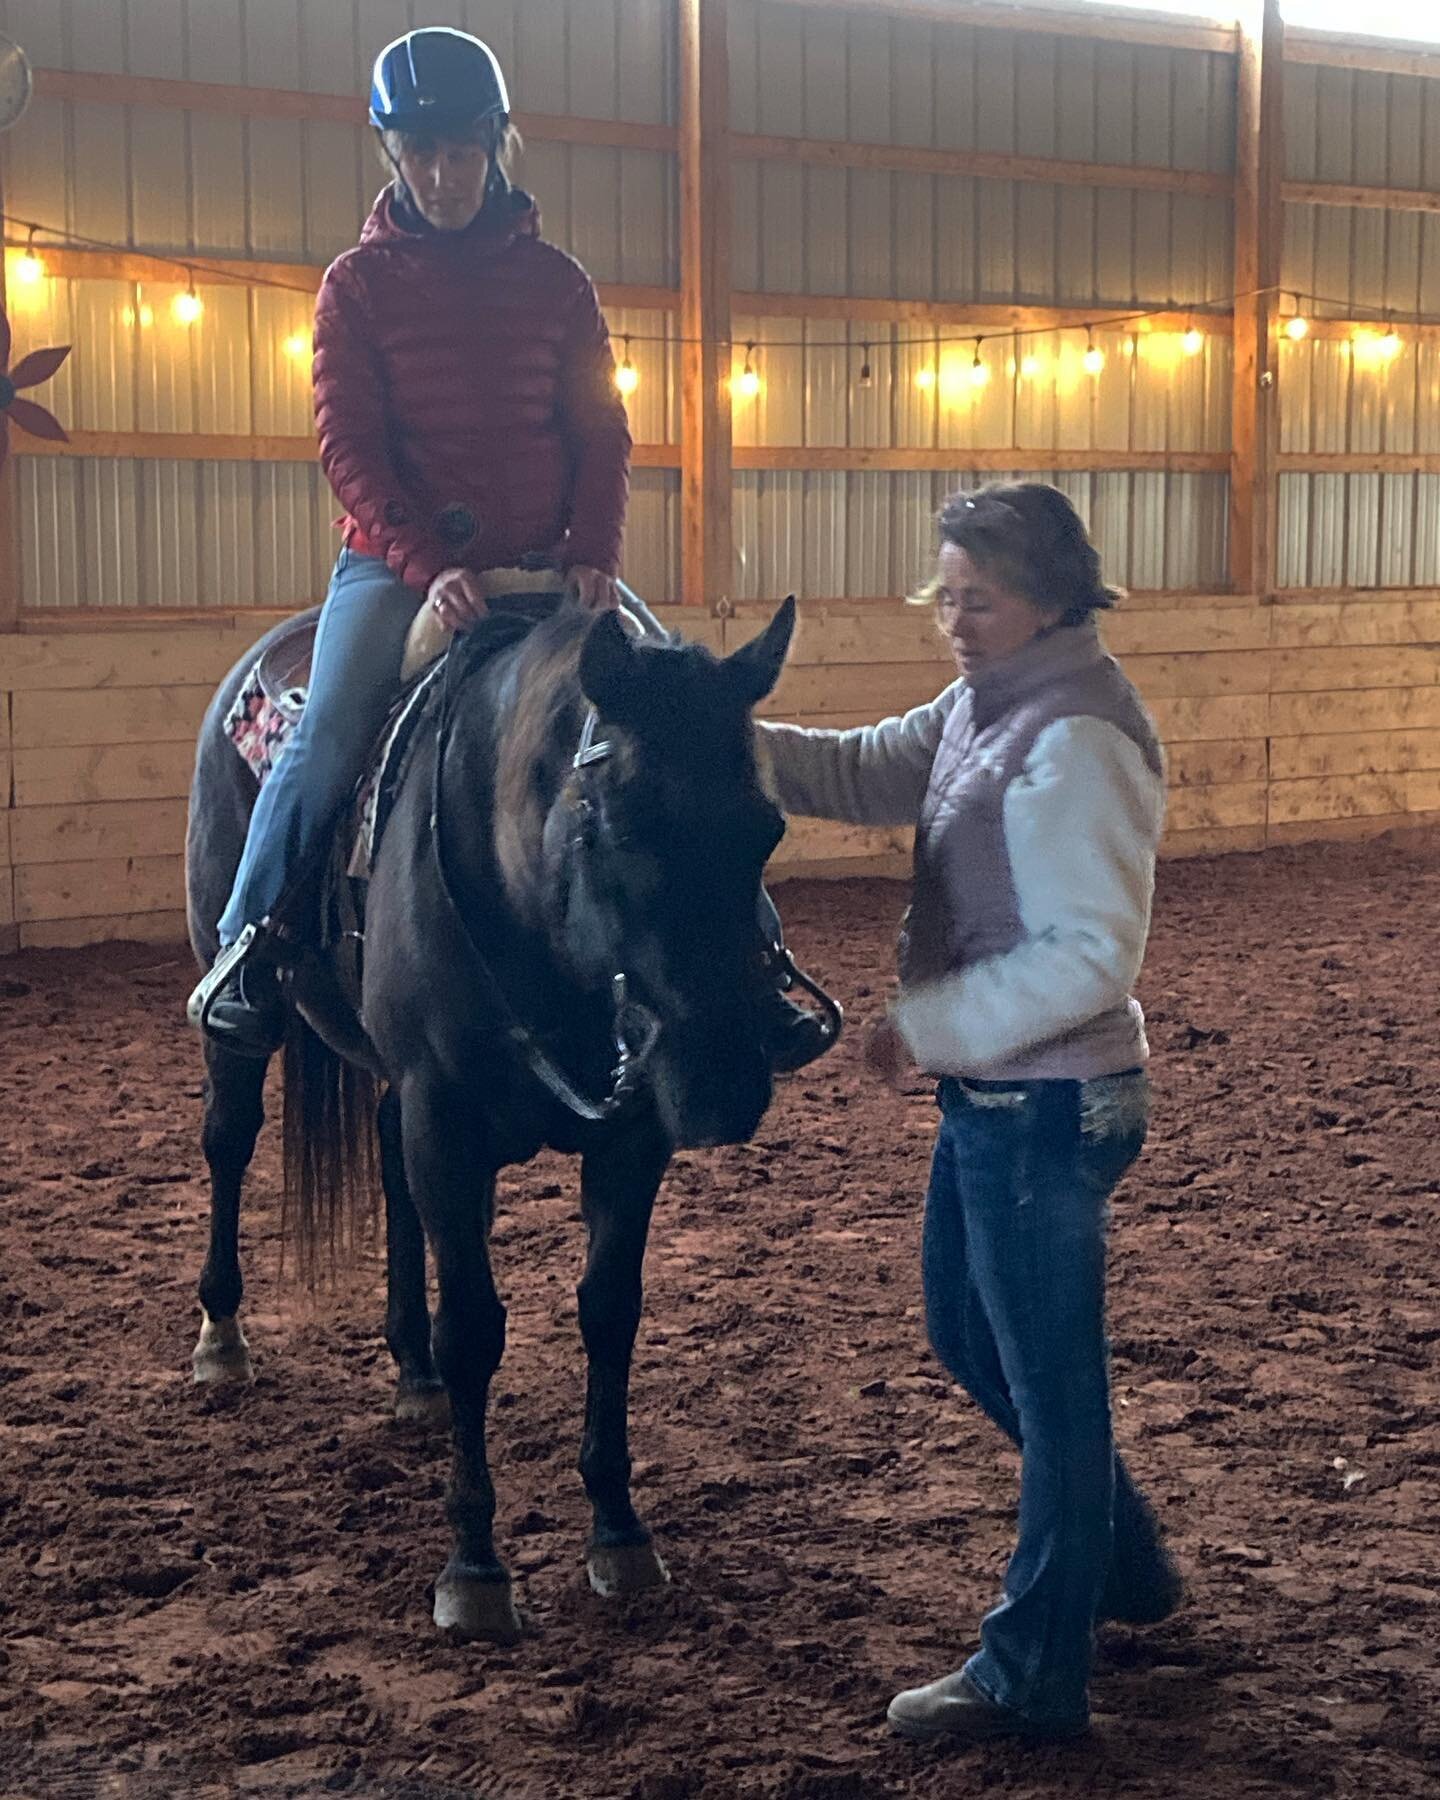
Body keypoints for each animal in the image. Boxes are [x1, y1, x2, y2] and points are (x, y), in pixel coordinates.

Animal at [182, 597, 799, 1641]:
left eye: (766, 829)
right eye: (611, 824)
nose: (722, 1080)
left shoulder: (629, 1140)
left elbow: (609, 1311)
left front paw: (619, 1530)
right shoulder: (445, 1117)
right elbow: (474, 1324)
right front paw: (474, 1565)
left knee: (390, 1174)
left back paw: (414, 1374)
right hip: (247, 1027)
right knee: (229, 1140)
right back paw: (222, 1335)